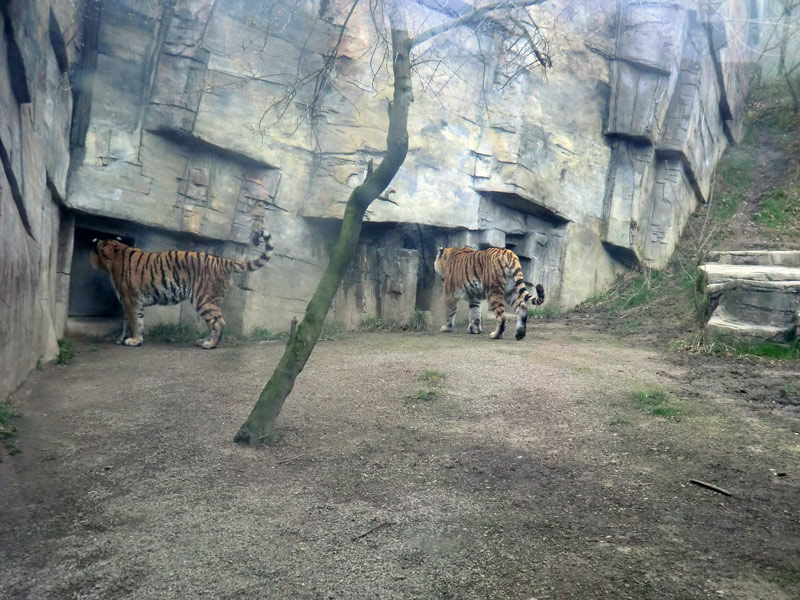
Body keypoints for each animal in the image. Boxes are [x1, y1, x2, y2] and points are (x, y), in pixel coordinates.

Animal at [89, 231, 274, 352]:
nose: (90, 258)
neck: (114, 254)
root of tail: (223, 260)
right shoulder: (128, 301)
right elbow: (129, 321)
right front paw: (122, 339)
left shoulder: (130, 300)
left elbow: (135, 322)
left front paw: (134, 340)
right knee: (213, 323)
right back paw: (203, 341)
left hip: (204, 299)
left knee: (218, 323)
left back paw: (210, 345)